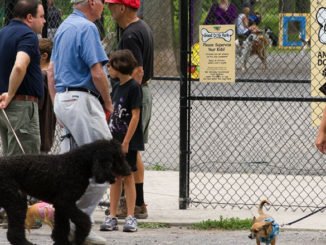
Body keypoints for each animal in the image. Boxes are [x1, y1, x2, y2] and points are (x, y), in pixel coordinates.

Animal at [0, 140, 131, 245]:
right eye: (118, 157)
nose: (129, 171)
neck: (78, 164)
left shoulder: (60, 206)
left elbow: (62, 227)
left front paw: (61, 241)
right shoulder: (64, 202)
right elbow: (84, 220)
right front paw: (80, 237)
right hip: (16, 200)